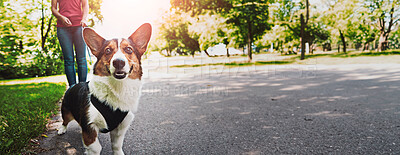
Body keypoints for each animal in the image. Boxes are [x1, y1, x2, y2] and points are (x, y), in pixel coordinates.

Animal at [58, 23, 152, 155]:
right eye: (108, 50)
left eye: (129, 49)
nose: (118, 62)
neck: (118, 87)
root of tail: (73, 85)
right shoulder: (89, 126)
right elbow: (96, 147)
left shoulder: (120, 128)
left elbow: (117, 145)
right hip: (66, 111)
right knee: (65, 120)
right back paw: (61, 129)